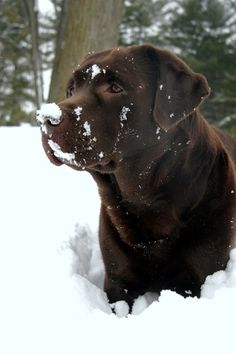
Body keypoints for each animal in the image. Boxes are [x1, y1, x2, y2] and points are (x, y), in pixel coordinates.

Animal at [37, 45, 236, 308]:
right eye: (71, 89)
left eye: (115, 88)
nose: (46, 119)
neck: (147, 198)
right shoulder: (118, 283)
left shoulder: (195, 280)